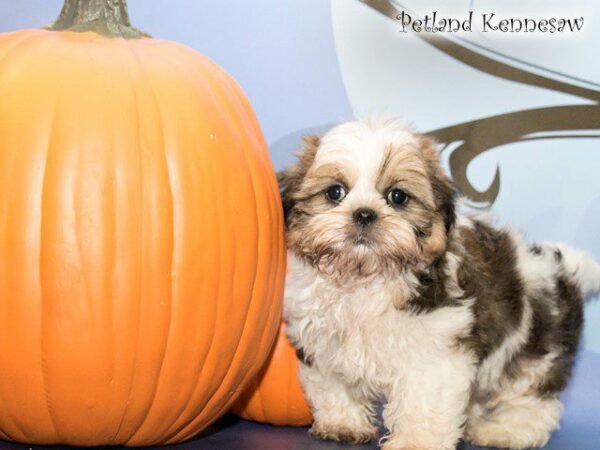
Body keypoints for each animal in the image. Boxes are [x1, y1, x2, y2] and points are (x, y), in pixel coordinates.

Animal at [280, 118, 600, 450]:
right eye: (334, 192)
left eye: (397, 196)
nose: (365, 214)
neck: (367, 276)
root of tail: (565, 269)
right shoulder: (322, 341)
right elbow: (331, 384)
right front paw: (344, 423)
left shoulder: (436, 350)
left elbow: (424, 400)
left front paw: (416, 441)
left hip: (537, 344)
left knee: (532, 396)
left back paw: (507, 430)